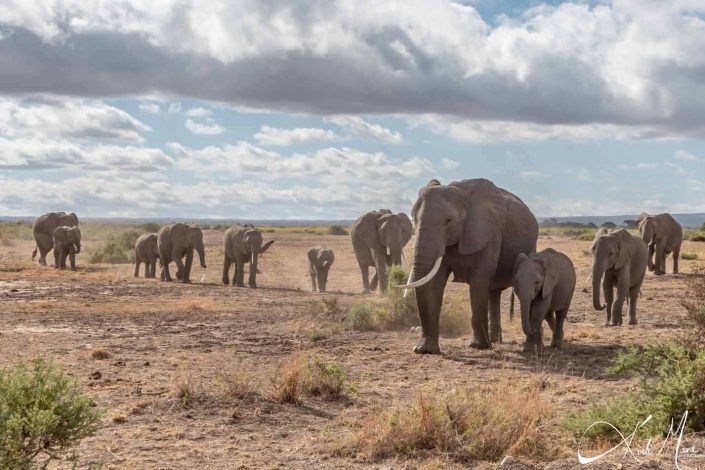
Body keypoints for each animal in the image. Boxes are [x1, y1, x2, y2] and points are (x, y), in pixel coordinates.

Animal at [396, 179, 540, 352]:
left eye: (448, 220)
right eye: (413, 220)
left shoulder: (489, 233)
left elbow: (479, 281)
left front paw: (478, 346)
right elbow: (434, 282)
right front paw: (424, 350)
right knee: (494, 292)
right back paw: (494, 339)